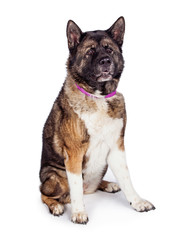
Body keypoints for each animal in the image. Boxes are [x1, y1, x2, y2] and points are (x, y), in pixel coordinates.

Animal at [39, 16, 155, 225]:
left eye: (109, 49)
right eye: (91, 51)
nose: (106, 61)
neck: (98, 97)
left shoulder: (117, 147)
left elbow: (126, 177)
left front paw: (137, 202)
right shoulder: (74, 153)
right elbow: (76, 186)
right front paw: (78, 212)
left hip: (103, 165)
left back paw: (107, 184)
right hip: (55, 177)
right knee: (44, 193)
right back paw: (56, 206)